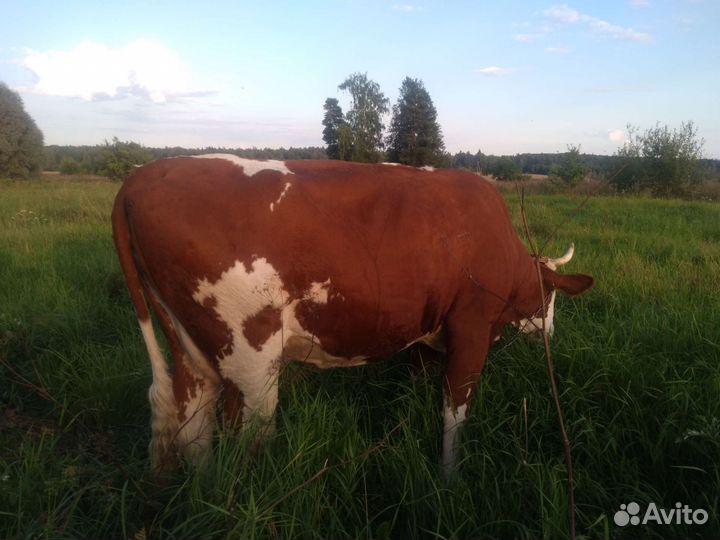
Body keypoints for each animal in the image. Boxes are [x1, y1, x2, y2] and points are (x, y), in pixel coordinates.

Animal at [111, 154, 594, 475]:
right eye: (551, 296)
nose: (551, 329)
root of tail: (144, 174)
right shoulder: (472, 326)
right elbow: (455, 413)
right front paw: (451, 477)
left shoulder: (426, 333)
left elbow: (419, 391)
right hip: (250, 360)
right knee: (246, 442)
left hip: (190, 351)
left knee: (193, 428)